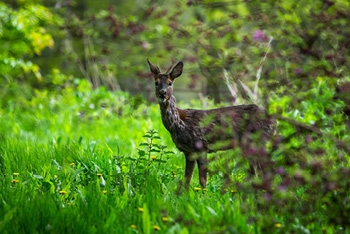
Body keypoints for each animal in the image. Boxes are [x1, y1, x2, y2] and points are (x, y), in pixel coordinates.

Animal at [146, 59, 278, 187]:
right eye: (156, 82)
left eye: (170, 83)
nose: (162, 93)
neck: (180, 124)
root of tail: (275, 121)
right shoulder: (189, 152)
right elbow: (186, 180)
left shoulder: (201, 146)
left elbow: (203, 180)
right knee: (258, 172)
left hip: (259, 141)